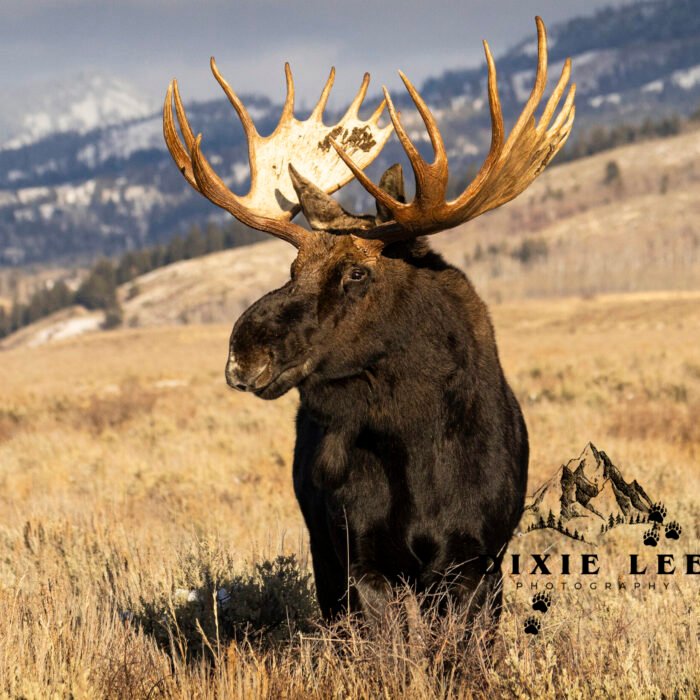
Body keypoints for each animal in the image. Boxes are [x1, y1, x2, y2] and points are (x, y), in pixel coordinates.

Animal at [163, 17, 575, 625]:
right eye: (293, 267)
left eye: (357, 273)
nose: (244, 351)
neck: (415, 448)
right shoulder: (360, 556)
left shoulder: (475, 562)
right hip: (322, 548)